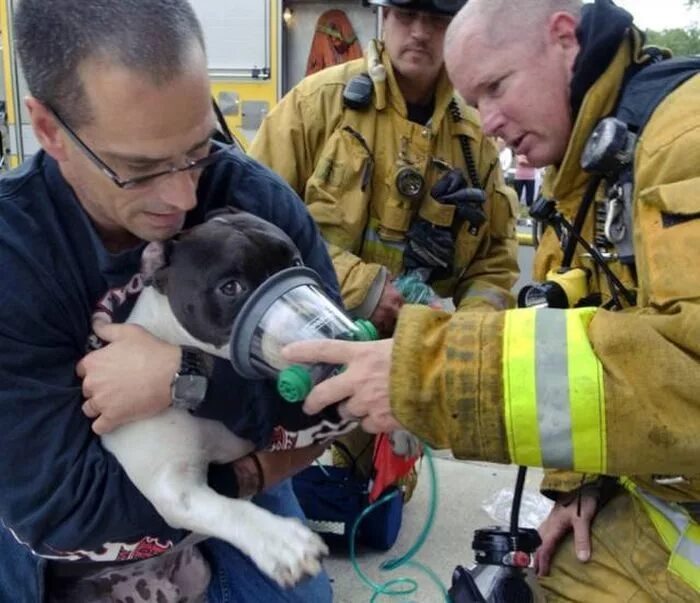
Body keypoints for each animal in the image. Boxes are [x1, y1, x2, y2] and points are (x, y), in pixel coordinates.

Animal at [100, 211, 348, 584]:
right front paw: (281, 542)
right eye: (231, 288)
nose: (326, 329)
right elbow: (228, 509)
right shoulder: (172, 483)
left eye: (295, 263)